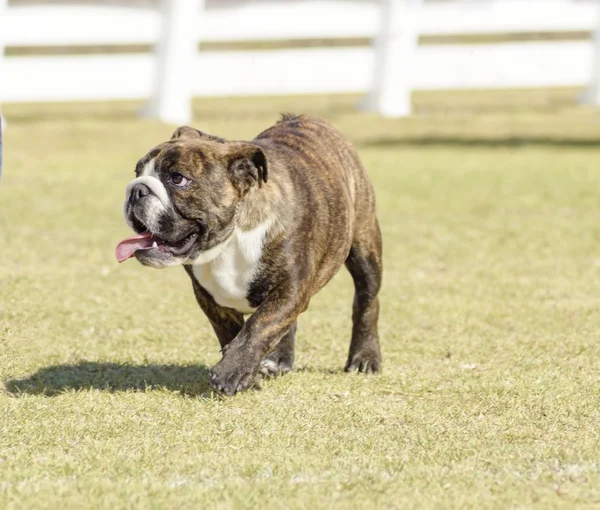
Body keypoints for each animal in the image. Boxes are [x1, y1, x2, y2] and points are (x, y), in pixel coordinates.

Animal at [115, 115, 382, 394]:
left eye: (178, 179)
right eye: (137, 173)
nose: (136, 190)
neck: (230, 239)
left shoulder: (290, 290)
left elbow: (259, 326)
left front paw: (230, 373)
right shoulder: (211, 300)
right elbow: (236, 334)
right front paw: (247, 376)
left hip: (365, 249)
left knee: (366, 301)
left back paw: (364, 358)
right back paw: (278, 360)